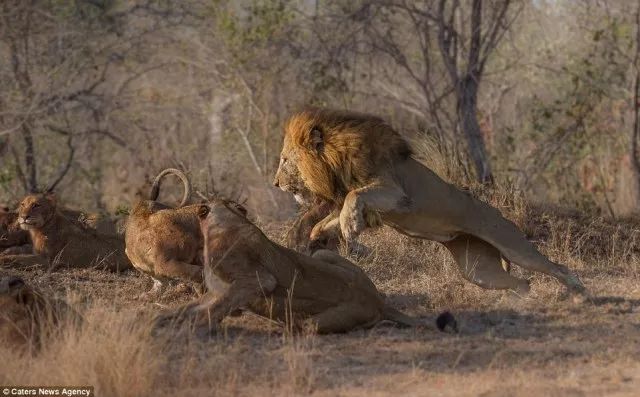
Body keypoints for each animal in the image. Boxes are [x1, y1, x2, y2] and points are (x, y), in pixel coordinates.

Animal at [272, 108, 588, 296]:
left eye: (285, 160)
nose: (275, 183)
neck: (334, 164)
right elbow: (332, 217)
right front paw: (323, 234)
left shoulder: (396, 193)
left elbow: (354, 197)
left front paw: (350, 228)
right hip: (478, 271)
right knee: (522, 282)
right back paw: (519, 298)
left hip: (513, 246)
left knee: (554, 267)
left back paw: (578, 292)